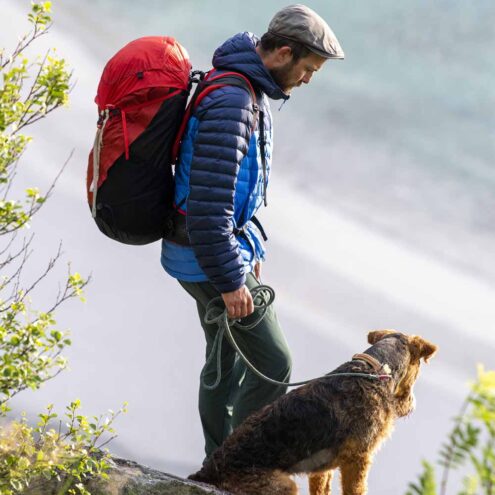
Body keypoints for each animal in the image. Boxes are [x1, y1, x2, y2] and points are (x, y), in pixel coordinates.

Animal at [190, 330, 438, 495]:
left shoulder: (324, 466)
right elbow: (356, 489)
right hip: (283, 485)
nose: (411, 405)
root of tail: (206, 472)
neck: (375, 371)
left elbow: (321, 487)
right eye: (418, 368)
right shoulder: (359, 457)